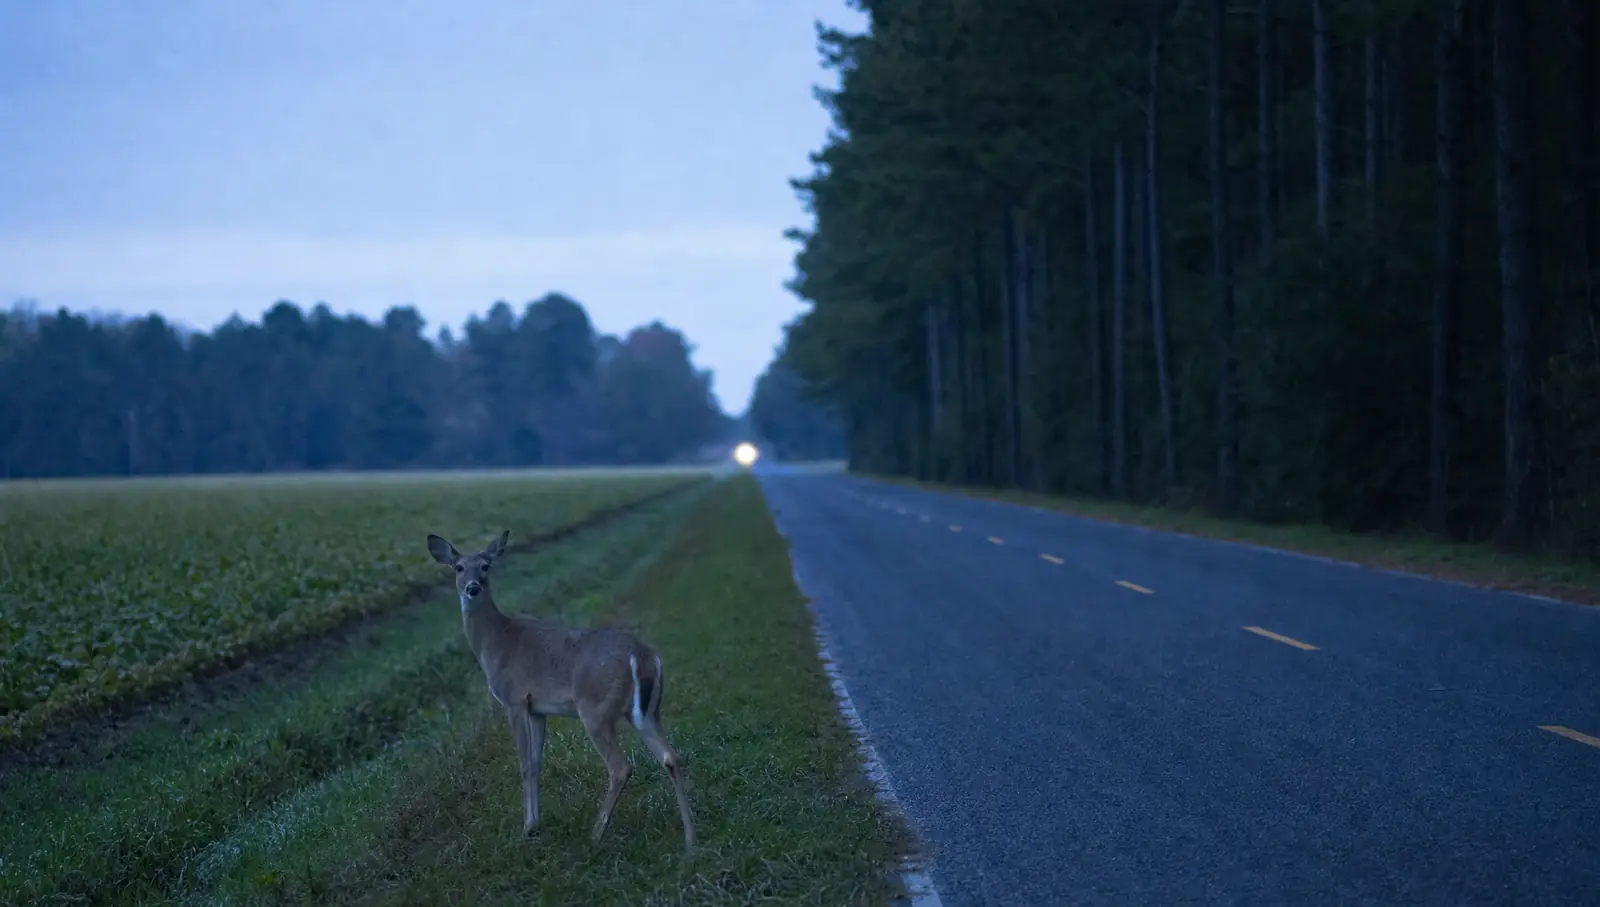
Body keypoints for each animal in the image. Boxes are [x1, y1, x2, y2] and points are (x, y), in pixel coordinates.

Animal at [425, 529, 696, 850]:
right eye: (459, 567)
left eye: (485, 566)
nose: (473, 588)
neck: (496, 642)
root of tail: (642, 656)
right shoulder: (537, 709)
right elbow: (536, 761)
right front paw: (535, 823)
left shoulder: (514, 700)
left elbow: (524, 763)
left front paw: (527, 828)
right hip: (648, 711)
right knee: (669, 756)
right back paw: (691, 840)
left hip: (594, 708)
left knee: (621, 767)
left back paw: (595, 834)